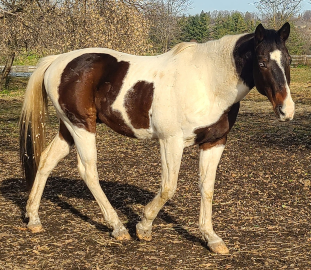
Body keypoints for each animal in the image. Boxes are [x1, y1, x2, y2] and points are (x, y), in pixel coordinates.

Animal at [18, 22, 294, 253]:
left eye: (289, 60)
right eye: (262, 62)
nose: (287, 110)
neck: (207, 81)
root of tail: (58, 61)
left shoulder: (214, 143)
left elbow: (207, 188)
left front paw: (211, 238)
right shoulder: (171, 141)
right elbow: (168, 187)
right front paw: (144, 226)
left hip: (69, 128)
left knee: (46, 161)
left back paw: (33, 218)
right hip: (82, 127)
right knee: (88, 171)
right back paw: (117, 227)